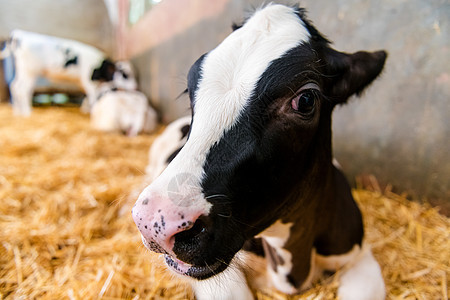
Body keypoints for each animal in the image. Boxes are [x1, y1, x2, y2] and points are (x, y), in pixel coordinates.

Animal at [0, 29, 136, 116]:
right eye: (125, 75)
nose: (135, 87)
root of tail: (19, 34)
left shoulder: (86, 83)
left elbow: (88, 96)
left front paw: (85, 109)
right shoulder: (88, 81)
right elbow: (93, 96)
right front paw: (92, 112)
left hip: (24, 71)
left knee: (15, 86)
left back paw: (18, 112)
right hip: (29, 71)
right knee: (22, 89)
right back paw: (26, 112)